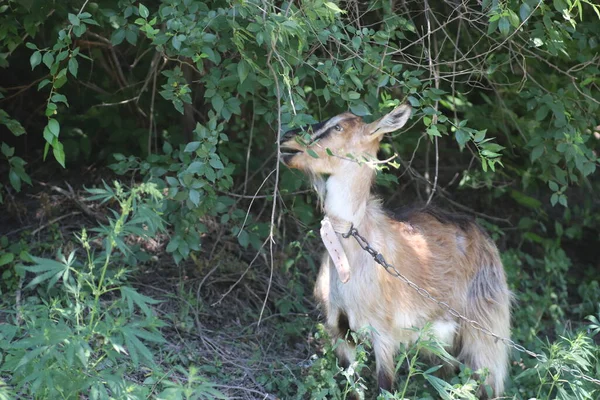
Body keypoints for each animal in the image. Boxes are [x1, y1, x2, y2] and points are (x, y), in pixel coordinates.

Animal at [280, 104, 510, 398]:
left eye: (338, 127)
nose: (287, 139)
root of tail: (482, 236)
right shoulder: (340, 331)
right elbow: (353, 388)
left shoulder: (384, 334)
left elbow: (384, 387)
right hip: (442, 339)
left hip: (485, 329)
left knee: (487, 383)